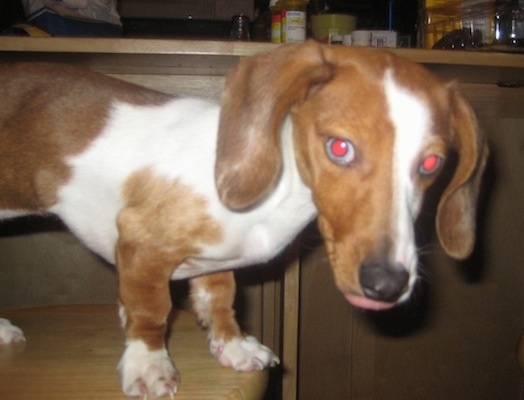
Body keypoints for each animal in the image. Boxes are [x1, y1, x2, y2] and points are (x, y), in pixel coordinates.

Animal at [0, 40, 488, 396]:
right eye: (340, 147)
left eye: (431, 164)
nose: (387, 285)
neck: (277, 195)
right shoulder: (141, 243)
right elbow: (151, 310)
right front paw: (148, 362)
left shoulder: (215, 264)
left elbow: (220, 299)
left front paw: (232, 345)